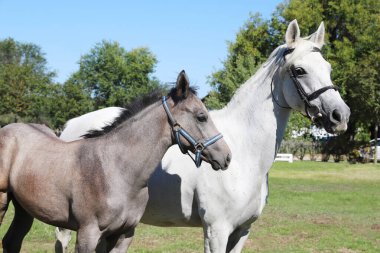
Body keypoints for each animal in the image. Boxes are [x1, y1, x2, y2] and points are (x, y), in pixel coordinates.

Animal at [55, 20, 348, 252]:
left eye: (328, 68)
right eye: (299, 70)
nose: (340, 115)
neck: (246, 155)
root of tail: (70, 126)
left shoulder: (242, 232)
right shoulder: (217, 230)